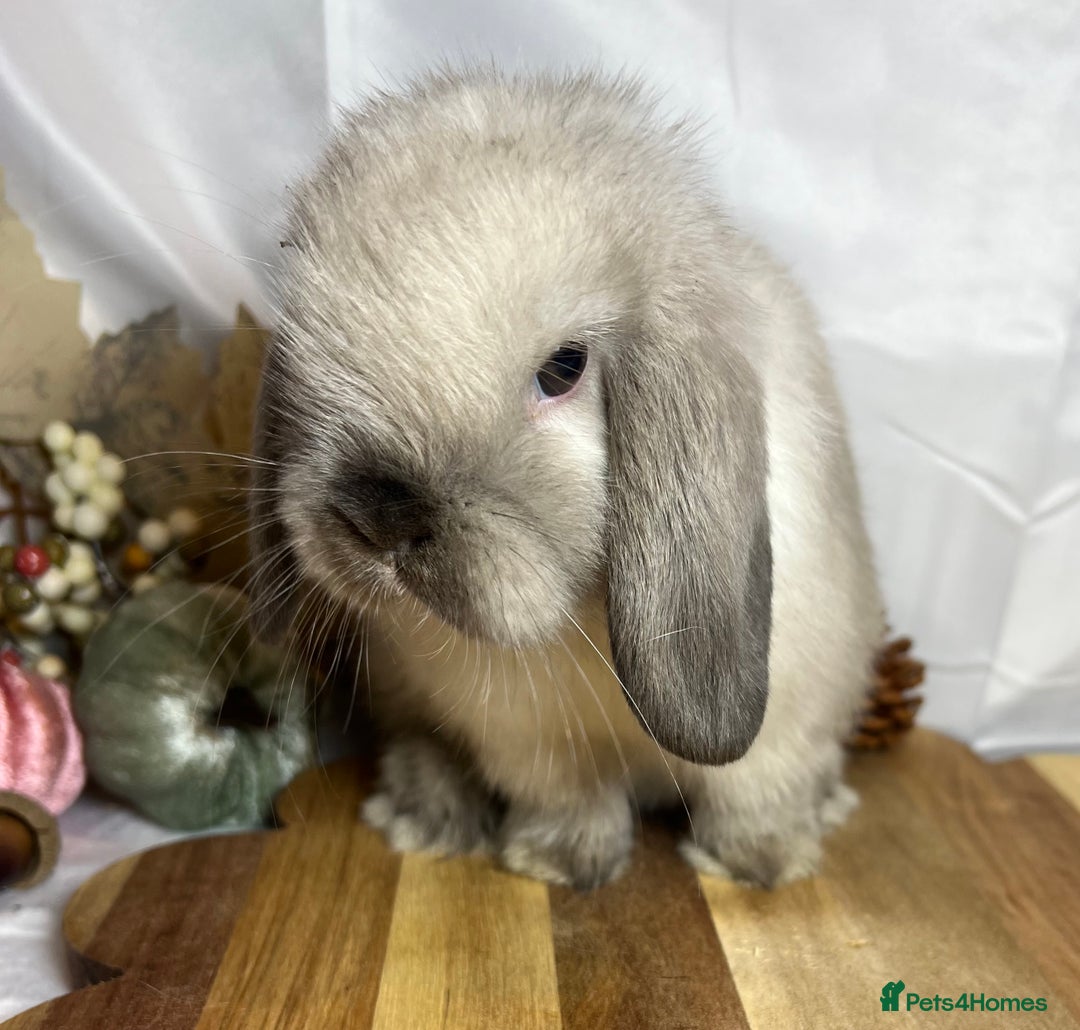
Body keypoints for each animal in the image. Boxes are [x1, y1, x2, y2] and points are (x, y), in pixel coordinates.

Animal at [249, 66, 886, 890]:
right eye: (302, 339)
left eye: (564, 369)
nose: (377, 516)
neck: (576, 619)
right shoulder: (531, 745)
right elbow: (570, 796)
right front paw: (558, 864)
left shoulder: (787, 721)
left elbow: (753, 791)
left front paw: (760, 865)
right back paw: (427, 815)